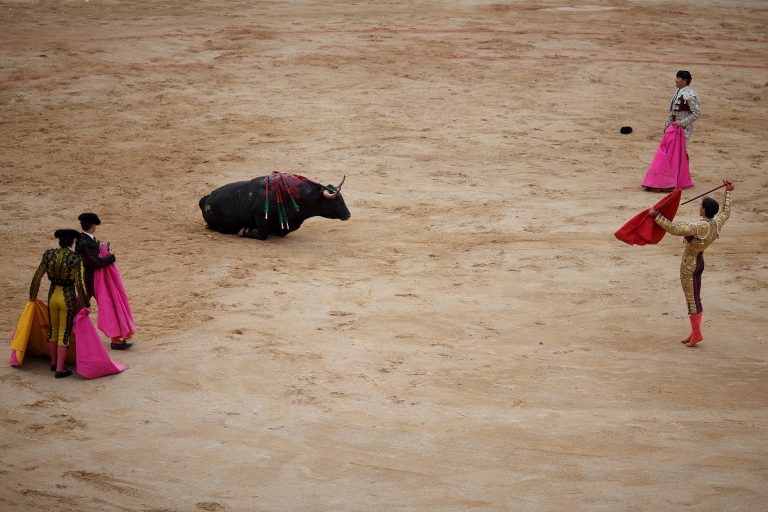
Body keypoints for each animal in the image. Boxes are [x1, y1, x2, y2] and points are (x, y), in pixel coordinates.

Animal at [200, 172, 352, 240]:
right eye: (336, 201)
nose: (348, 214)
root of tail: (206, 200)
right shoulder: (260, 216)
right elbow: (263, 234)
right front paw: (244, 231)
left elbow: (282, 231)